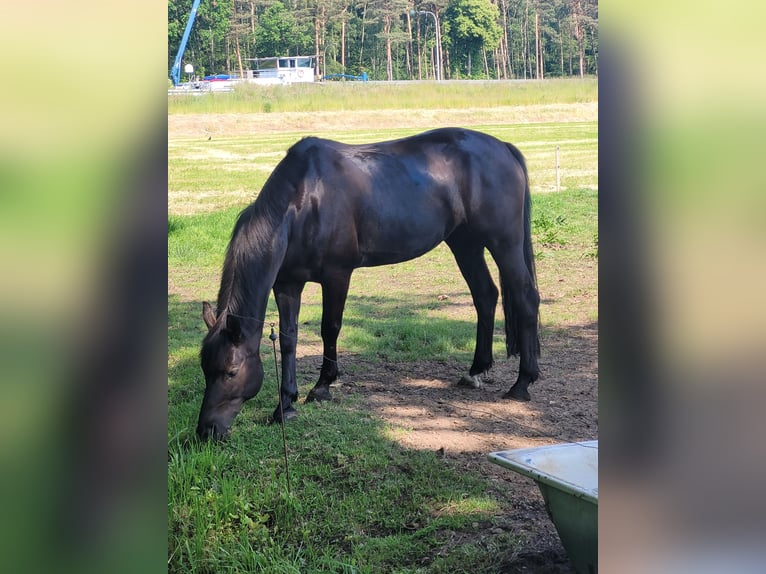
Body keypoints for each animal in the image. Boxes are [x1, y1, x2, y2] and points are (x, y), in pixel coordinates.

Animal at [198, 127, 544, 440]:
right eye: (204, 368)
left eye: (230, 372)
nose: (207, 431)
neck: (304, 201)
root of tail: (503, 147)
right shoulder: (287, 283)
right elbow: (288, 340)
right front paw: (285, 405)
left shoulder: (337, 275)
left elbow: (330, 328)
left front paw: (322, 387)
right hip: (465, 243)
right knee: (485, 295)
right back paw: (476, 371)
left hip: (504, 243)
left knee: (526, 297)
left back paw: (522, 383)